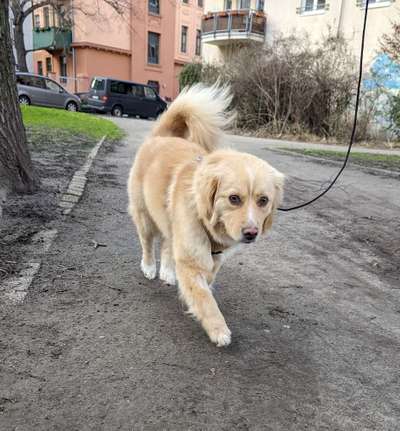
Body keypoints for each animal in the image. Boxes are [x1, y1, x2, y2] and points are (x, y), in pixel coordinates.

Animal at [128, 84, 284, 348]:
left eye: (263, 200)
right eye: (234, 198)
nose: (251, 233)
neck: (207, 221)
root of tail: (160, 136)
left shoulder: (213, 258)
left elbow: (207, 284)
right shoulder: (191, 260)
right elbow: (204, 298)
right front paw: (218, 329)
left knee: (167, 245)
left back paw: (167, 272)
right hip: (145, 217)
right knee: (147, 243)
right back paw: (149, 268)